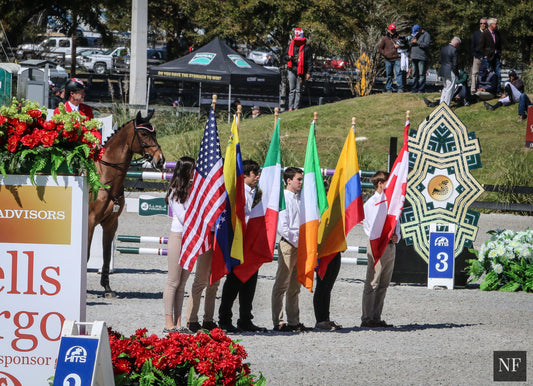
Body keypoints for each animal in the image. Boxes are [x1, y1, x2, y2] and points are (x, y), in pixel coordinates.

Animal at [87, 110, 164, 298]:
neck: (105, 177)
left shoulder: (111, 223)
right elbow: (86, 253)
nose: (160, 160)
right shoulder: (90, 221)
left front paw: (107, 288)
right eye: (144, 133)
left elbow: (106, 255)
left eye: (155, 133)